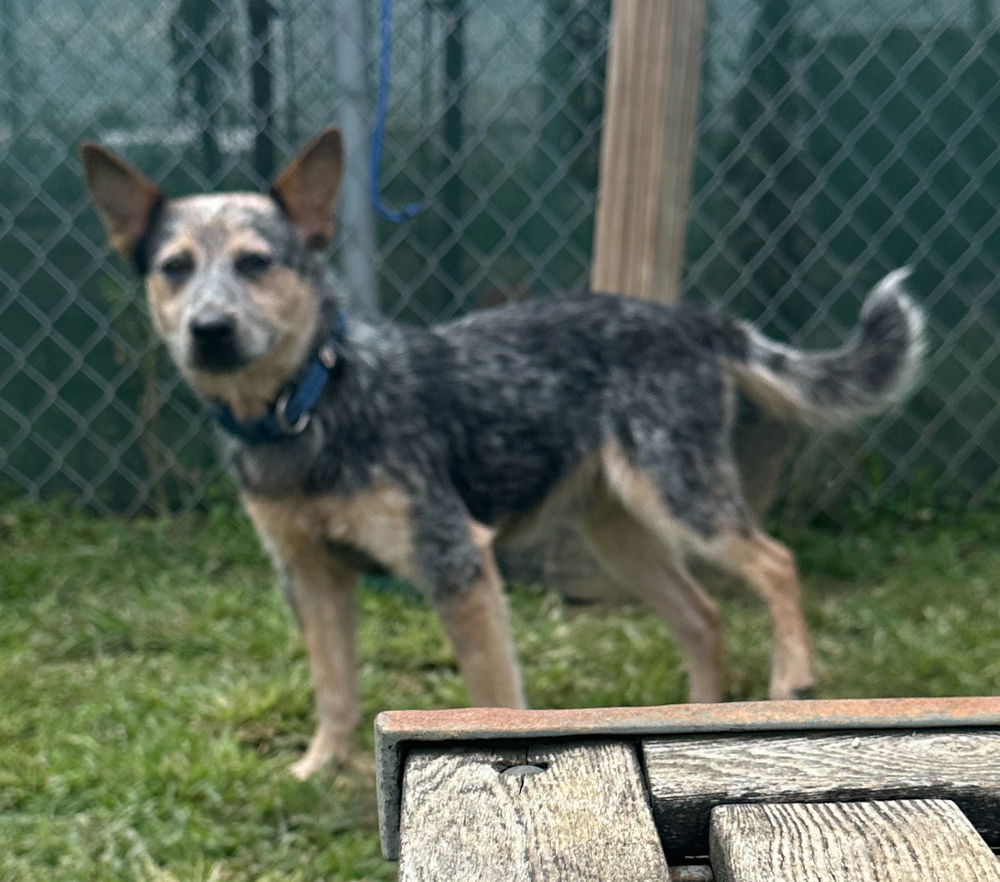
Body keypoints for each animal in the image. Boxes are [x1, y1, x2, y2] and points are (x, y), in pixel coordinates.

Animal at [82, 127, 924, 772]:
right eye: (174, 268)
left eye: (257, 262)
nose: (210, 330)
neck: (310, 405)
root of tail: (698, 320)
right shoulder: (311, 577)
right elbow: (334, 686)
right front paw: (318, 769)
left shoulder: (458, 563)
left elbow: (490, 693)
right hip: (617, 533)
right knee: (703, 615)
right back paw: (698, 714)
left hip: (681, 496)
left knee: (776, 562)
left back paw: (793, 679)